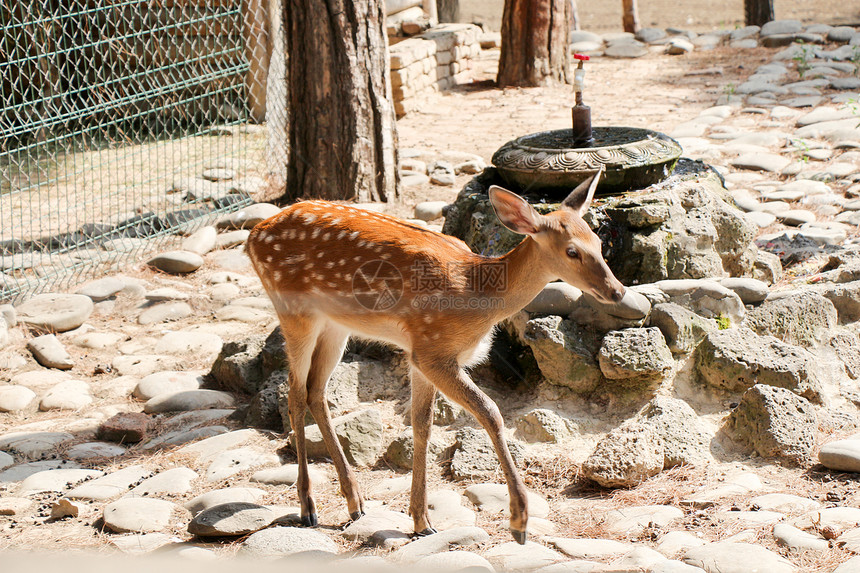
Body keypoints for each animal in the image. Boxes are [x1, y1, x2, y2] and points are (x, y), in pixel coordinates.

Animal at [245, 168, 620, 544]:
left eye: (599, 243)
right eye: (571, 251)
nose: (617, 291)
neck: (476, 294)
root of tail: (253, 236)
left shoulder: (419, 353)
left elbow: (421, 425)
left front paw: (420, 520)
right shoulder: (432, 350)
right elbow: (491, 412)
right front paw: (518, 521)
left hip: (336, 325)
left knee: (315, 391)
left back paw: (355, 503)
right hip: (294, 310)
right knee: (294, 393)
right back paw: (308, 506)